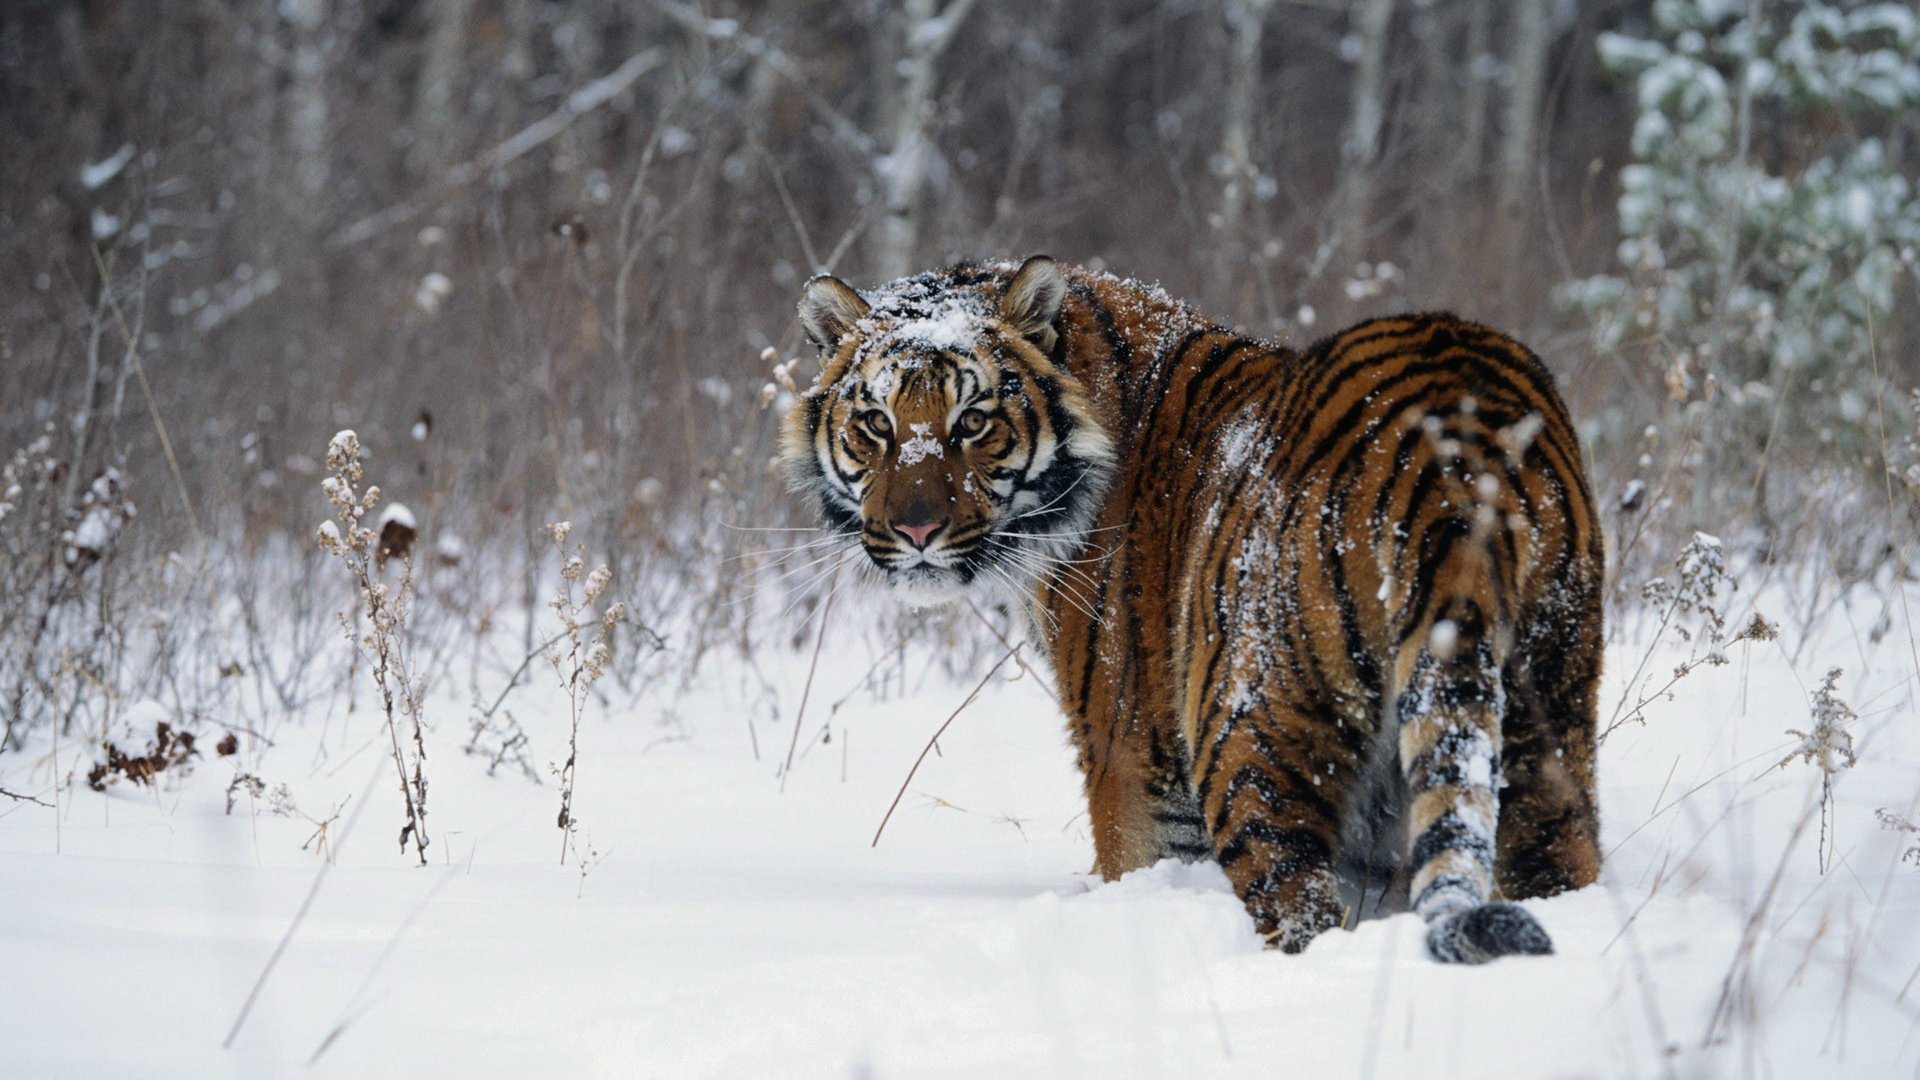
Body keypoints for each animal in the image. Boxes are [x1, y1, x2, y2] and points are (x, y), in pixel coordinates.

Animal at [779, 253, 1605, 957]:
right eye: (877, 423)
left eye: (973, 422)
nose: (916, 531)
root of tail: (1453, 450)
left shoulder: (1131, 755)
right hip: (1547, 718)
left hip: (1249, 735)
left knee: (1300, 907)